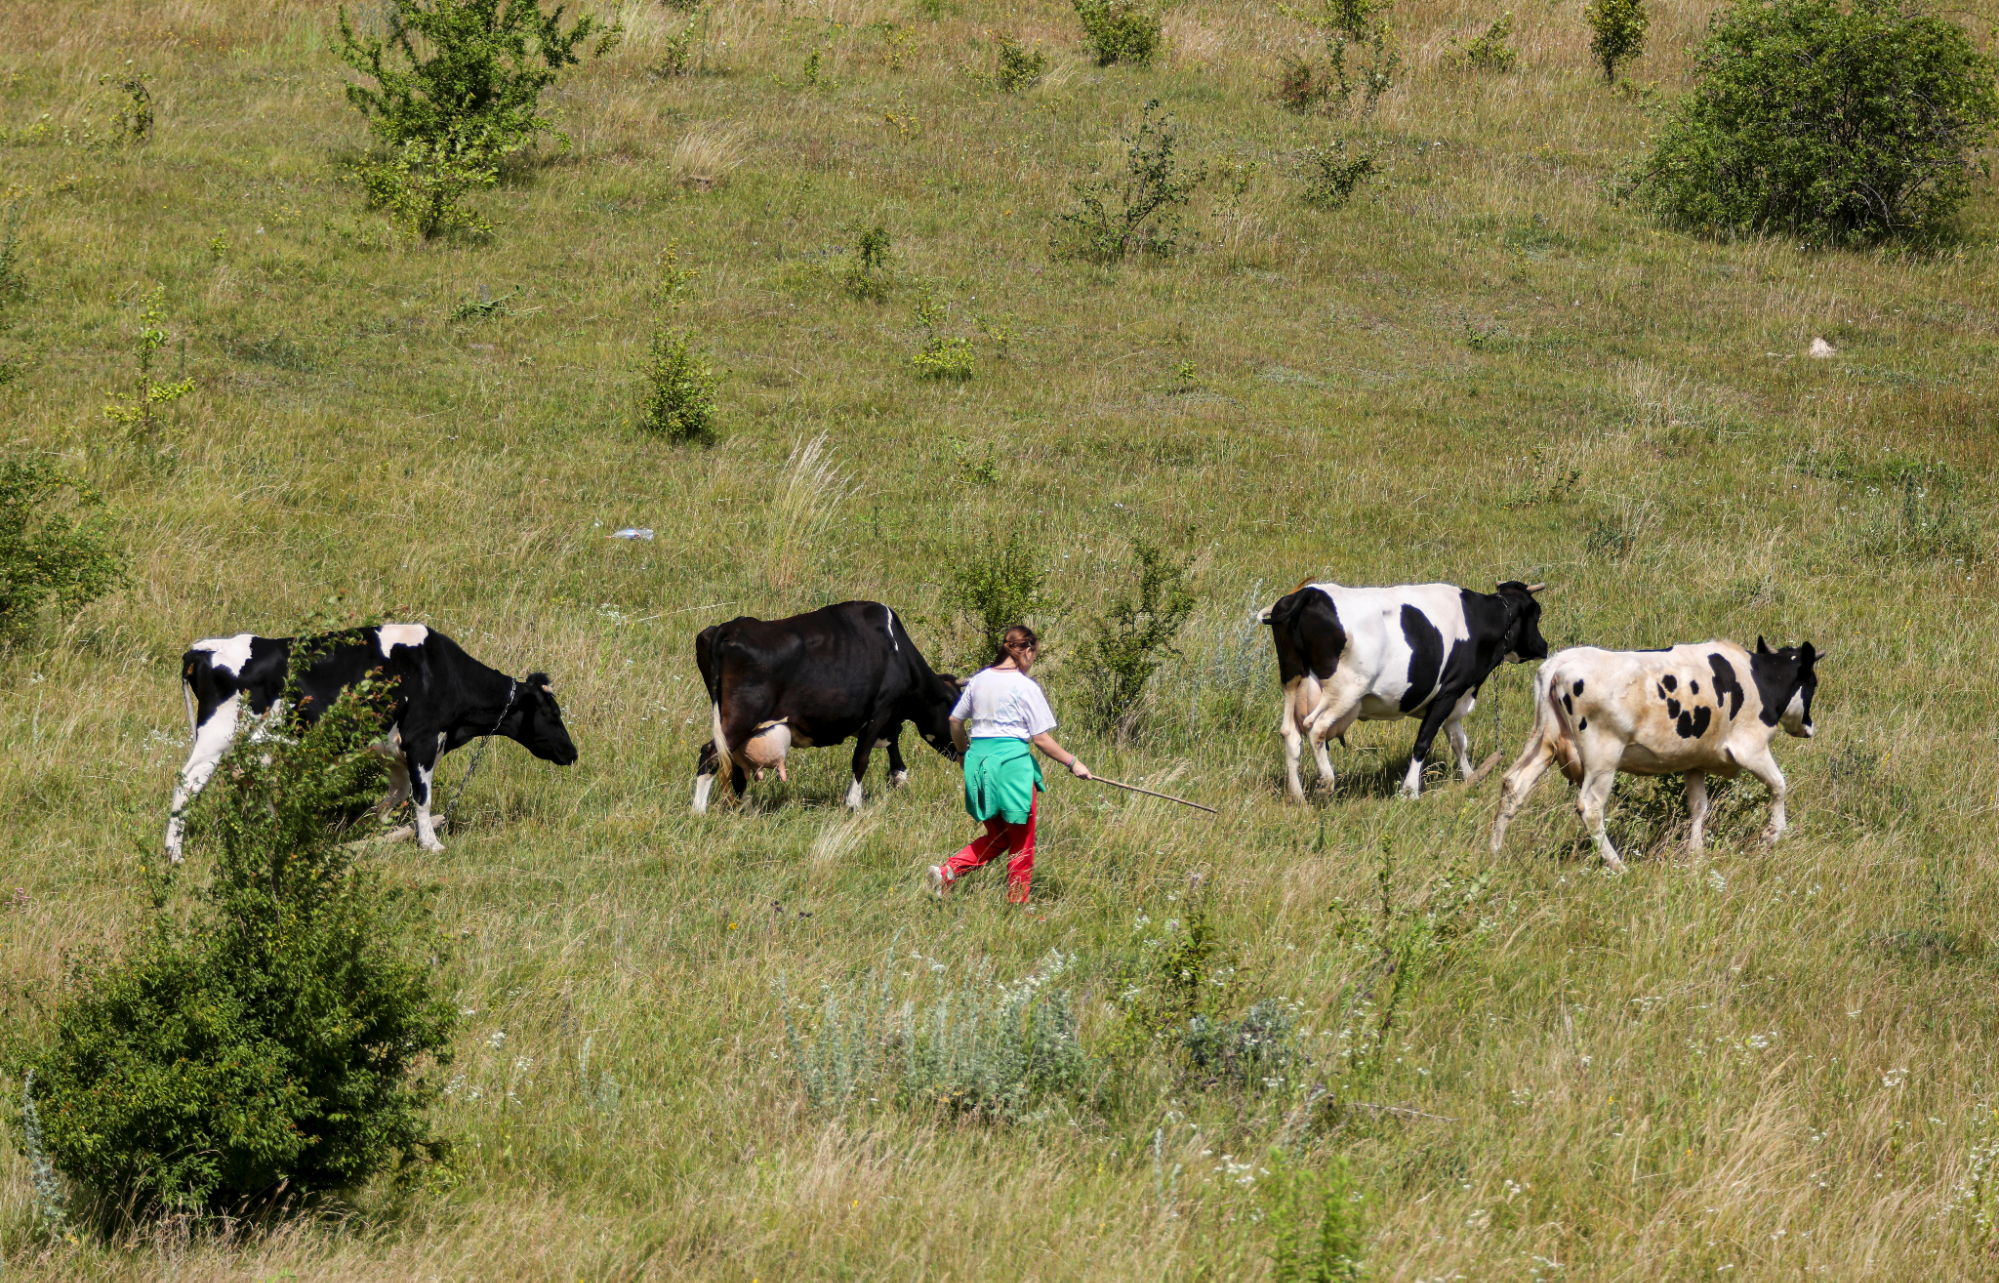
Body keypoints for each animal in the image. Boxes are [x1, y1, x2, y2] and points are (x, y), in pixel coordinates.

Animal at [164, 623, 579, 855]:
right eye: (553, 714)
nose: (572, 752)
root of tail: (203, 649)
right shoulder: (423, 740)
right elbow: (423, 797)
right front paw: (430, 843)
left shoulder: (391, 747)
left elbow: (398, 792)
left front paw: (369, 826)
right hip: (215, 737)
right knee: (186, 784)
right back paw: (174, 853)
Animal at [695, 599, 959, 807]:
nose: (963, 752)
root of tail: (729, 628)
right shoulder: (881, 711)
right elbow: (861, 759)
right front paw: (853, 804)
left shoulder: (887, 718)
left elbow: (893, 749)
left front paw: (898, 779)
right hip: (743, 717)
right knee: (711, 755)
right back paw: (699, 812)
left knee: (734, 765)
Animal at [1255, 579, 1551, 799]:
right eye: (1536, 613)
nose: (1544, 646)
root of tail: (1310, 593)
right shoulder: (1449, 692)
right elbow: (1423, 742)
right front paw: (1410, 791)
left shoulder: (1453, 699)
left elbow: (1459, 741)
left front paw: (1469, 778)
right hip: (1345, 689)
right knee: (1315, 727)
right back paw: (1326, 784)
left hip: (1292, 680)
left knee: (1290, 732)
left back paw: (1297, 796)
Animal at [1487, 631, 1831, 871]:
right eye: (1813, 682)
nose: (1809, 726)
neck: (1758, 679)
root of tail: (1562, 660)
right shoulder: (1751, 747)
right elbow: (1780, 785)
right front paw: (1772, 835)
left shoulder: (1695, 762)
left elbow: (1698, 806)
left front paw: (1695, 855)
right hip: (1603, 756)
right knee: (1590, 807)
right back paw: (1618, 866)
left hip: (1544, 743)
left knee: (1514, 785)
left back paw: (1494, 852)